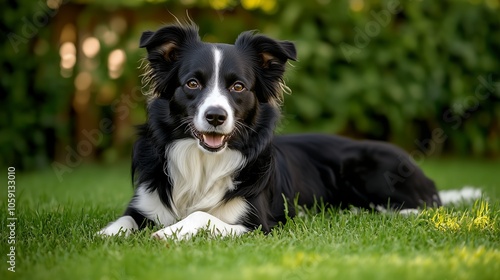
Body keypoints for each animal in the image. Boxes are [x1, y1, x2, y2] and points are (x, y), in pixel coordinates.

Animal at [97, 24, 442, 240]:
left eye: (238, 87)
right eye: (192, 83)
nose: (216, 116)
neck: (204, 162)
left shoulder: (259, 225)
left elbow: (202, 216)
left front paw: (167, 233)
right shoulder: (144, 203)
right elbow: (122, 220)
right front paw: (103, 236)